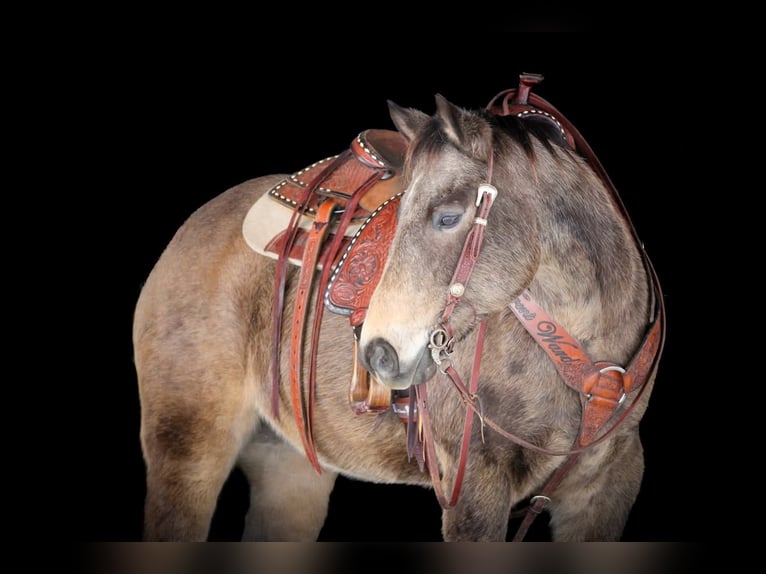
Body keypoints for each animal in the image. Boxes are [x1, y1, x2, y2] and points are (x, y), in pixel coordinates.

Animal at [132, 74, 665, 542]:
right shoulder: (473, 485)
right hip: (187, 449)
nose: (378, 354)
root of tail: (192, 229)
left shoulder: (610, 484)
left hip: (286, 465)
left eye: (448, 217)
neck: (583, 352)